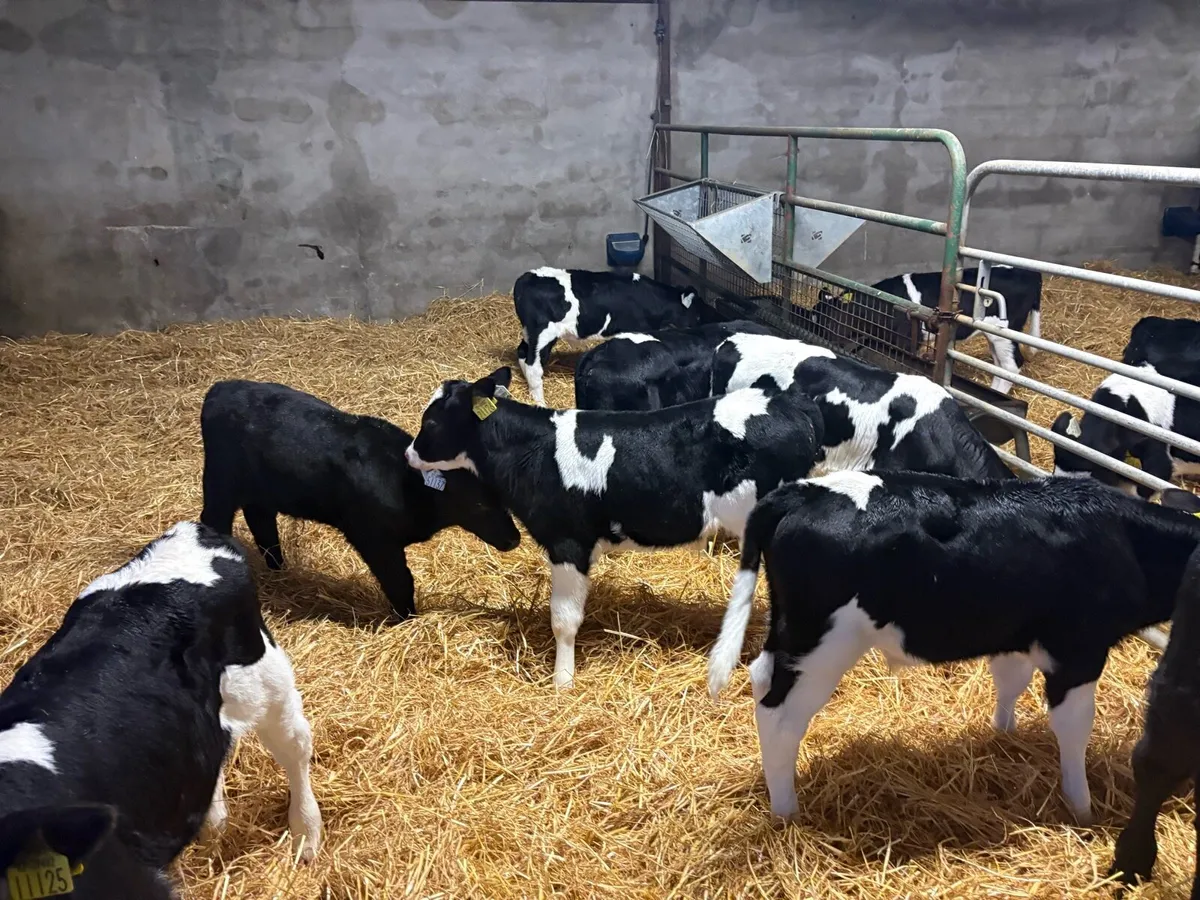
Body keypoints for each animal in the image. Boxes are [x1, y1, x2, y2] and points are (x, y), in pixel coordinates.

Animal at [199, 380, 521, 618]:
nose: (514, 539)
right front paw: (406, 620)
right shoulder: (373, 538)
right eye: (479, 504)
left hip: (261, 489)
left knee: (261, 522)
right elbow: (400, 582)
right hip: (219, 481)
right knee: (215, 520)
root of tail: (220, 388)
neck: (407, 485)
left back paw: (278, 569)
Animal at [404, 366, 824, 688]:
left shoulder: (567, 541)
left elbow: (564, 620)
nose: (409, 454)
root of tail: (791, 404)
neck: (533, 452)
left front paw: (562, 682)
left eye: (431, 421)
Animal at [513, 268, 700, 405]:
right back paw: (541, 402)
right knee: (533, 365)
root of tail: (526, 278)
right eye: (698, 316)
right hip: (543, 334)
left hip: (529, 333)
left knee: (521, 352)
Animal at [707, 471, 1200, 827]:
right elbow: (1075, 728)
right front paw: (1082, 809)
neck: (1122, 537)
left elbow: (1010, 682)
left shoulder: (1016, 634)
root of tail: (799, 492)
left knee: (761, 677)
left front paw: (1004, 733)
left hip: (791, 632)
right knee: (779, 716)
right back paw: (786, 810)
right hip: (822, 646)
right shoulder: (1079, 651)